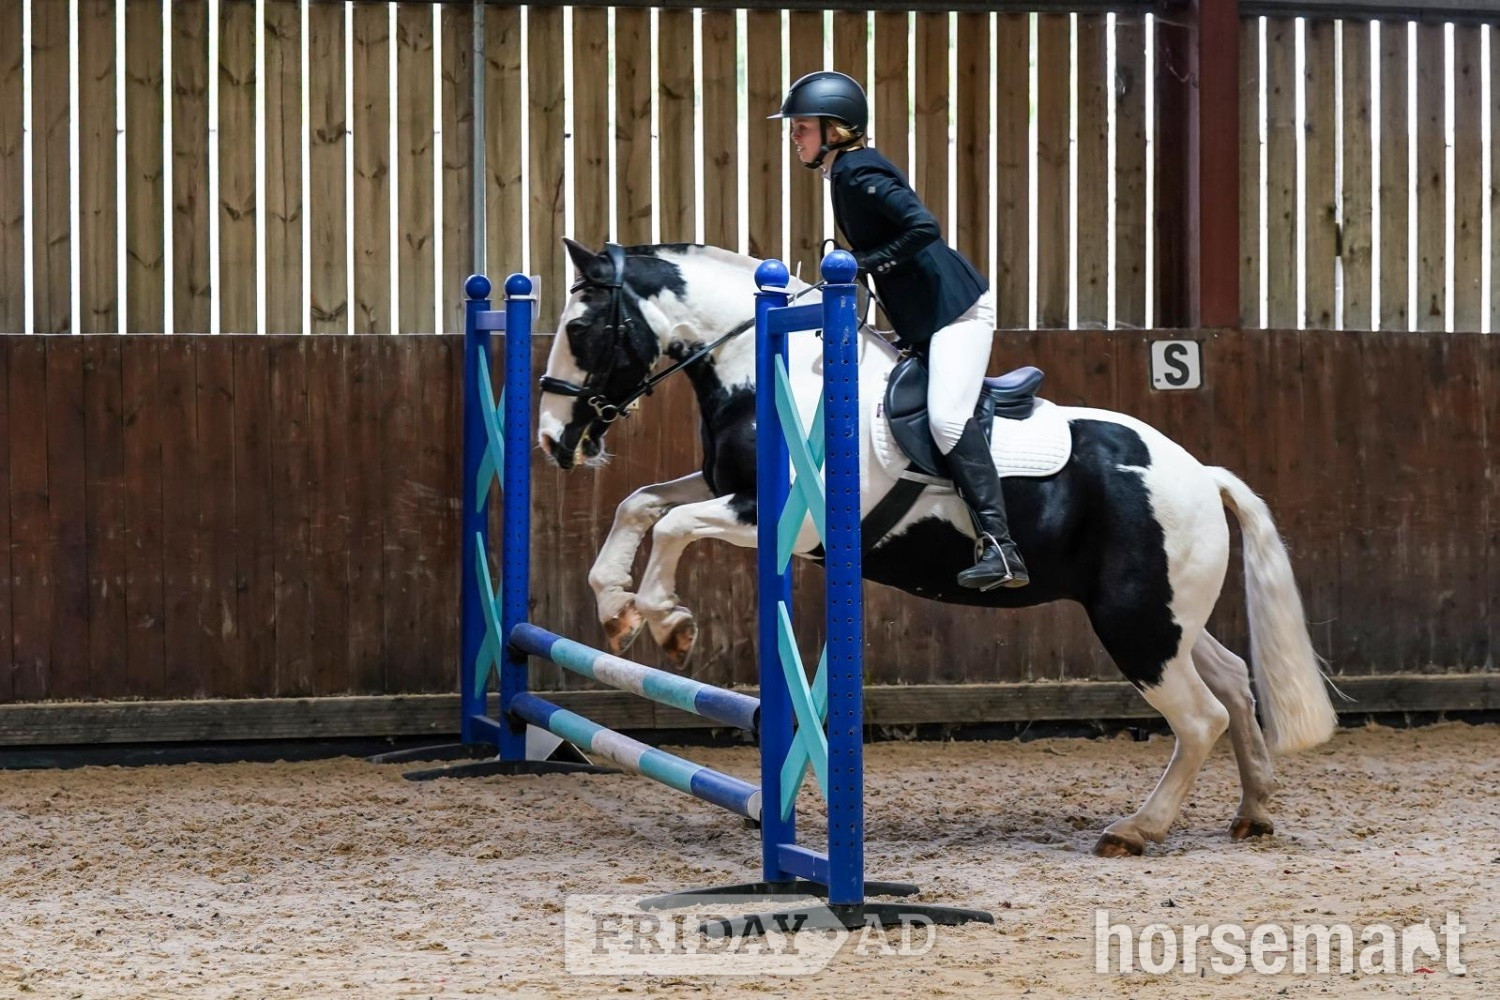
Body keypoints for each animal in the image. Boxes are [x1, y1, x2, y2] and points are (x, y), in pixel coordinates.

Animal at [535, 238, 1338, 857]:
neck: (775, 374)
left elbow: (671, 527)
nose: (552, 442)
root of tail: (1202, 473)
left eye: (583, 329)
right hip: (1166, 619)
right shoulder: (727, 491)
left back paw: (1137, 830)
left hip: (1136, 626)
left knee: (1201, 717)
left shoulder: (779, 518)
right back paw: (1255, 811)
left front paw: (667, 620)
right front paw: (617, 611)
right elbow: (641, 505)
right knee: (1233, 682)